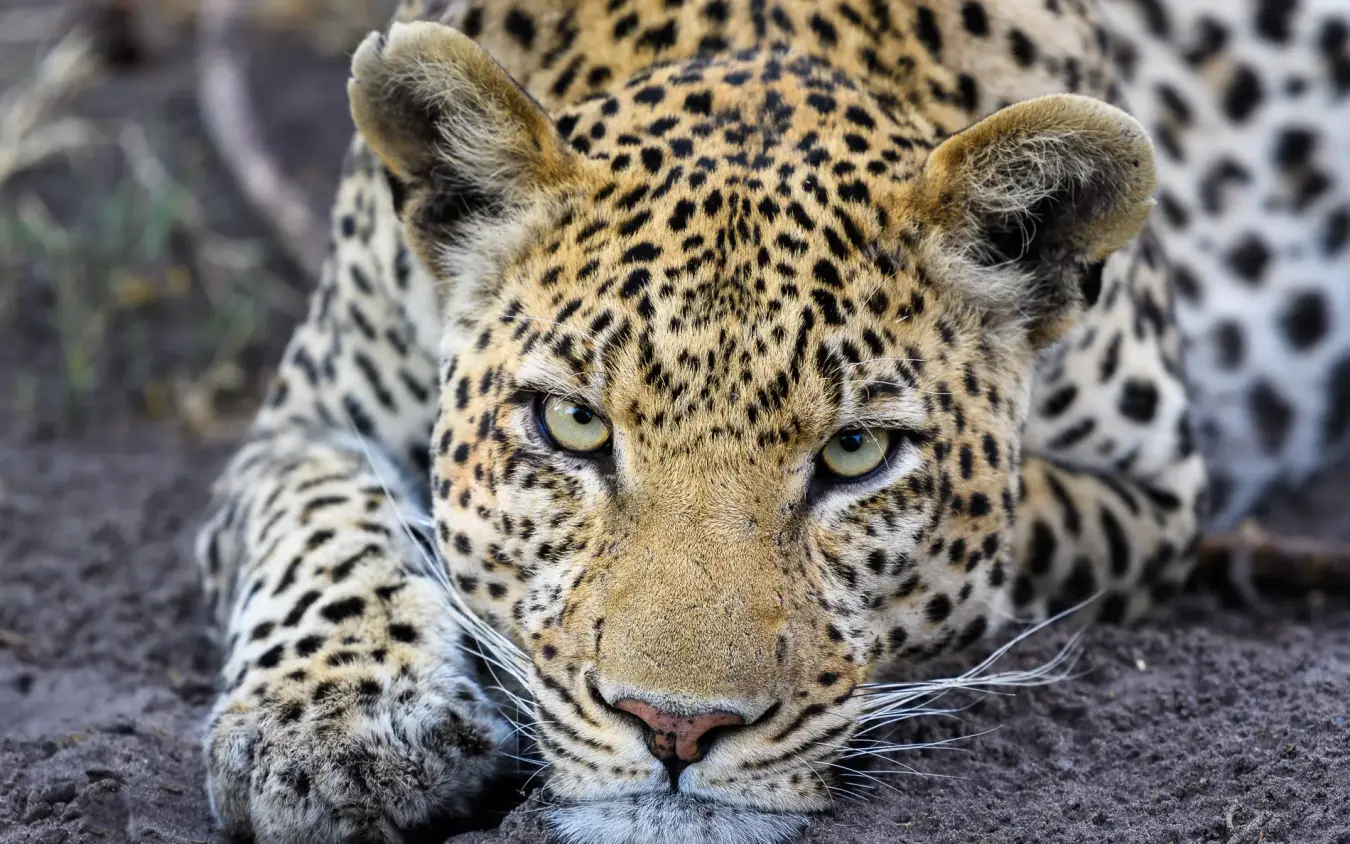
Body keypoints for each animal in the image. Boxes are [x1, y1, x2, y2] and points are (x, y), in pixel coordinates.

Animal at [193, 1, 1350, 843]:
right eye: (572, 425)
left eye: (856, 452)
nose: (674, 727)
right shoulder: (307, 415)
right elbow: (318, 521)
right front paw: (332, 728)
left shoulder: (1157, 491)